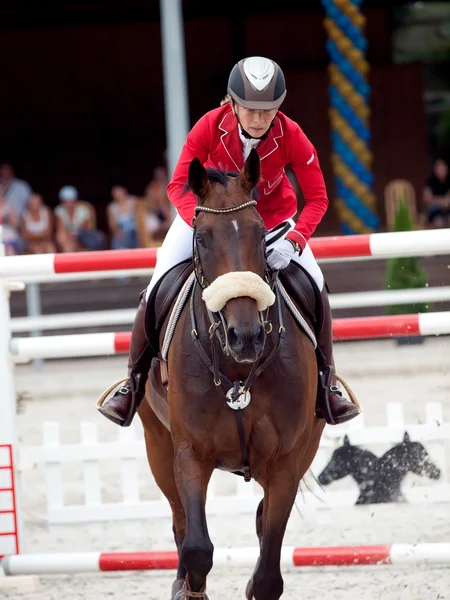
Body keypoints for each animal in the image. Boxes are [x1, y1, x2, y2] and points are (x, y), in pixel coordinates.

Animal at [137, 149, 324, 596]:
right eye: (203, 237)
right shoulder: (189, 452)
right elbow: (197, 548)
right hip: (157, 445)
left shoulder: (287, 460)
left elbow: (269, 574)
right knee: (179, 522)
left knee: (261, 519)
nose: (247, 336)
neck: (235, 369)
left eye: (260, 234)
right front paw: (189, 588)